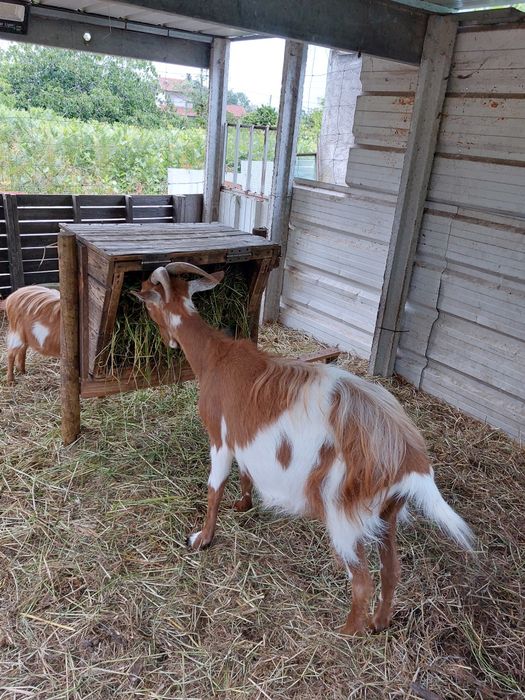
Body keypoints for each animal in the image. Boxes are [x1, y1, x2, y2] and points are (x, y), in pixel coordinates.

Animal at [133, 263, 473, 635]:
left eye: (149, 302)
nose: (167, 341)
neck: (216, 358)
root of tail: (410, 458)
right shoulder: (244, 439)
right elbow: (245, 472)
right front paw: (243, 504)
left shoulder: (220, 438)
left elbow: (214, 488)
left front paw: (201, 539)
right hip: (388, 513)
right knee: (391, 570)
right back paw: (379, 623)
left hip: (344, 514)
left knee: (362, 582)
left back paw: (344, 634)